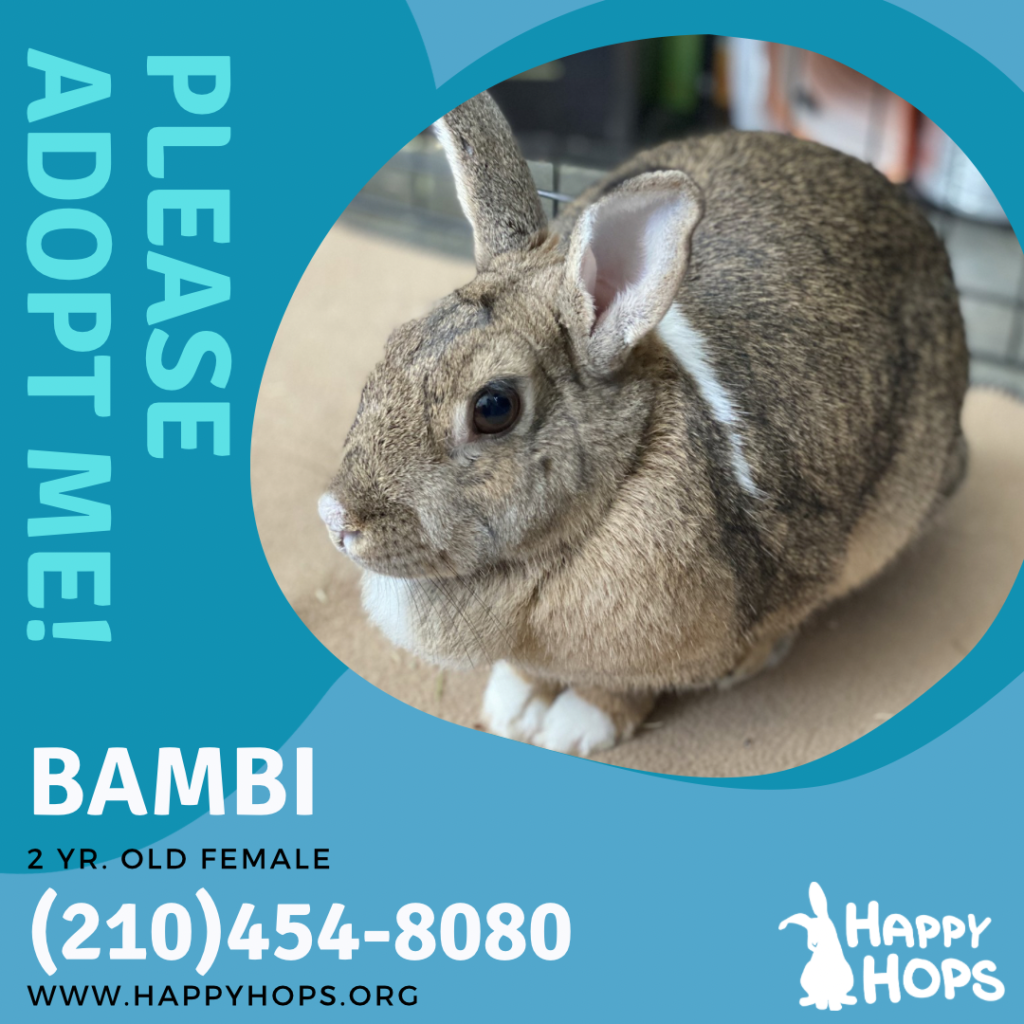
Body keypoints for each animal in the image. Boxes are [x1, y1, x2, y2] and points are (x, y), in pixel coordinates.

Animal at [318, 90, 968, 757]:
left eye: (493, 407)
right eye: (398, 342)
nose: (337, 521)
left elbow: (619, 689)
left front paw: (575, 728)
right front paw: (513, 707)